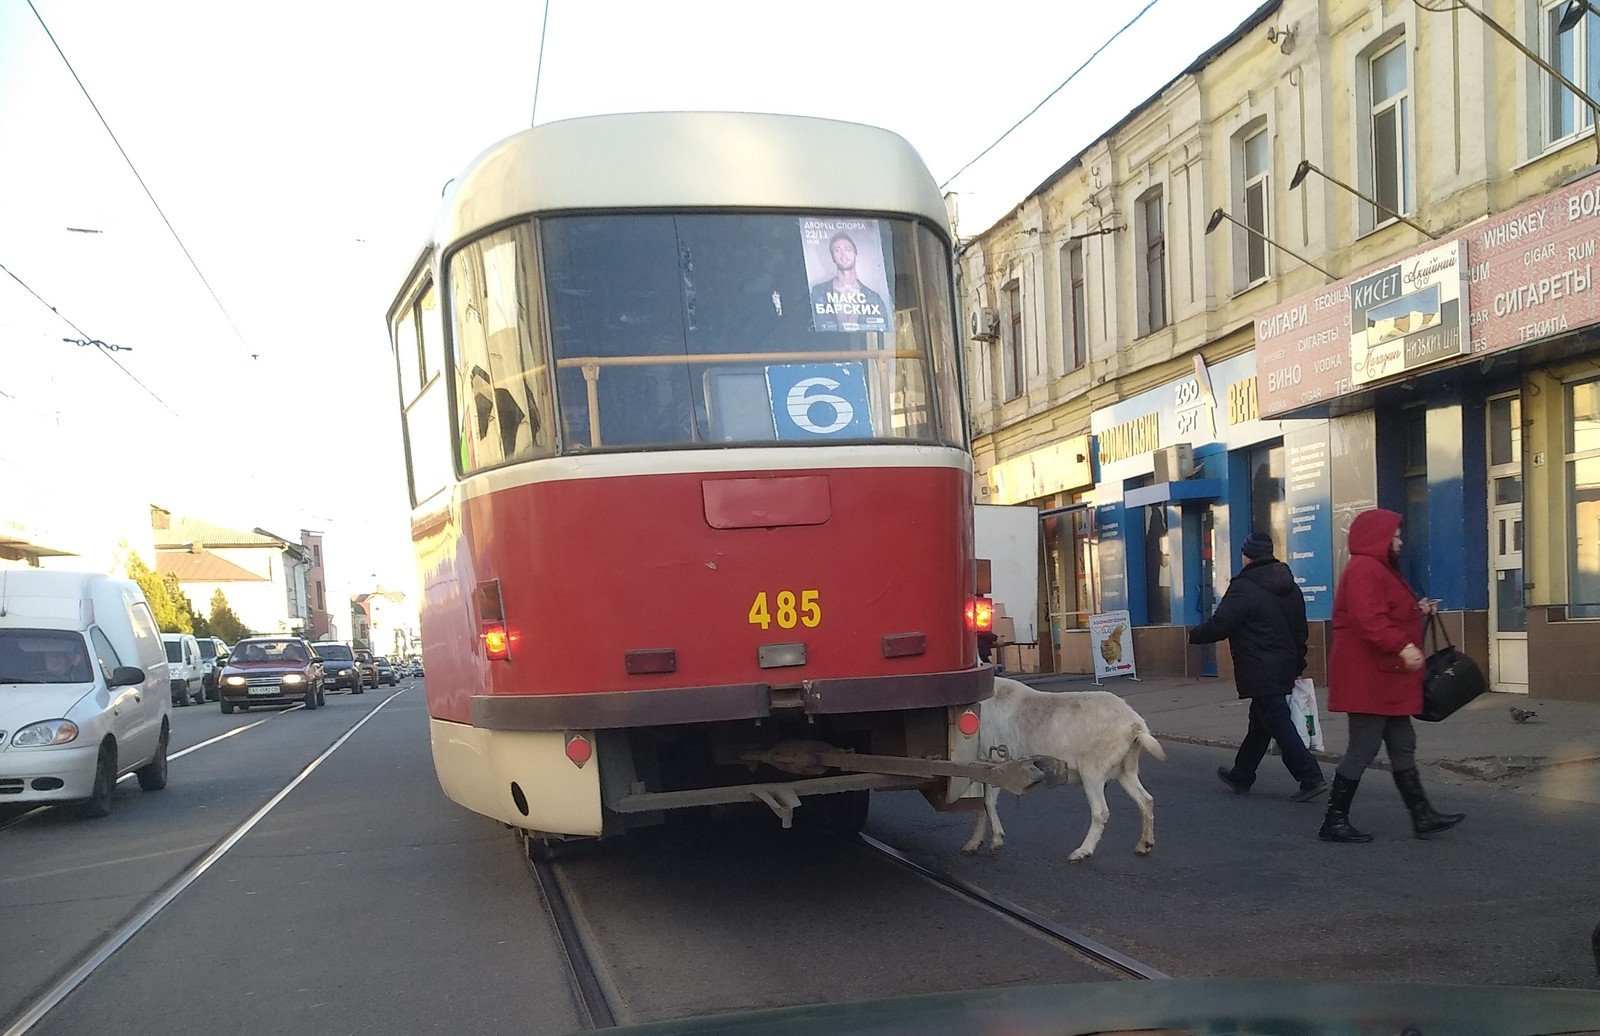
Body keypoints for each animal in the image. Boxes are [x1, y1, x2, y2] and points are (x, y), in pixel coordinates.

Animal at [953, 674, 1171, 863]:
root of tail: (1135, 725)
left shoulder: (994, 760)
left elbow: (988, 803)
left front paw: (997, 841)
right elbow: (980, 805)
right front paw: (973, 843)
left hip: (1092, 772)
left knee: (1101, 811)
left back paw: (1081, 852)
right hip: (1126, 769)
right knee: (1145, 800)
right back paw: (1144, 845)